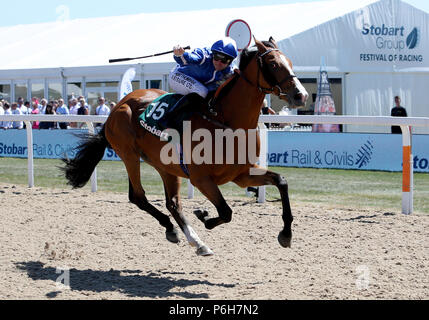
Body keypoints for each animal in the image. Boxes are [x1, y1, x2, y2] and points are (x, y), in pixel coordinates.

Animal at [61, 37, 308, 256]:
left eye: (290, 61)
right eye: (273, 64)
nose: (301, 95)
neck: (226, 121)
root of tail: (119, 104)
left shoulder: (242, 174)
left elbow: (281, 181)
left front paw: (286, 234)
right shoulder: (201, 179)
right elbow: (226, 211)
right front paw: (204, 215)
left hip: (165, 165)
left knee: (172, 203)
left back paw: (194, 241)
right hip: (129, 154)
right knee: (138, 196)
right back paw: (176, 229)